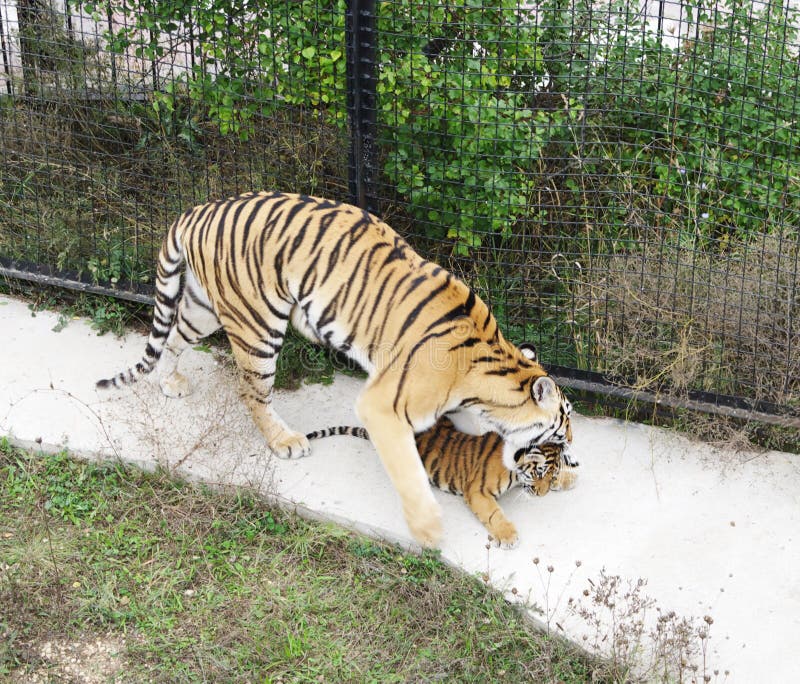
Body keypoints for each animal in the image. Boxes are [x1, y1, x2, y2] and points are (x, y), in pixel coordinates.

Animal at [95, 190, 568, 548]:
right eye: (562, 433)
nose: (570, 455)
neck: (492, 371)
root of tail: (197, 210)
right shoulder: (383, 405)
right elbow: (409, 471)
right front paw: (429, 529)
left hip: (204, 309)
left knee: (172, 335)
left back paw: (171, 382)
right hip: (256, 324)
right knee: (251, 391)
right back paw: (285, 441)